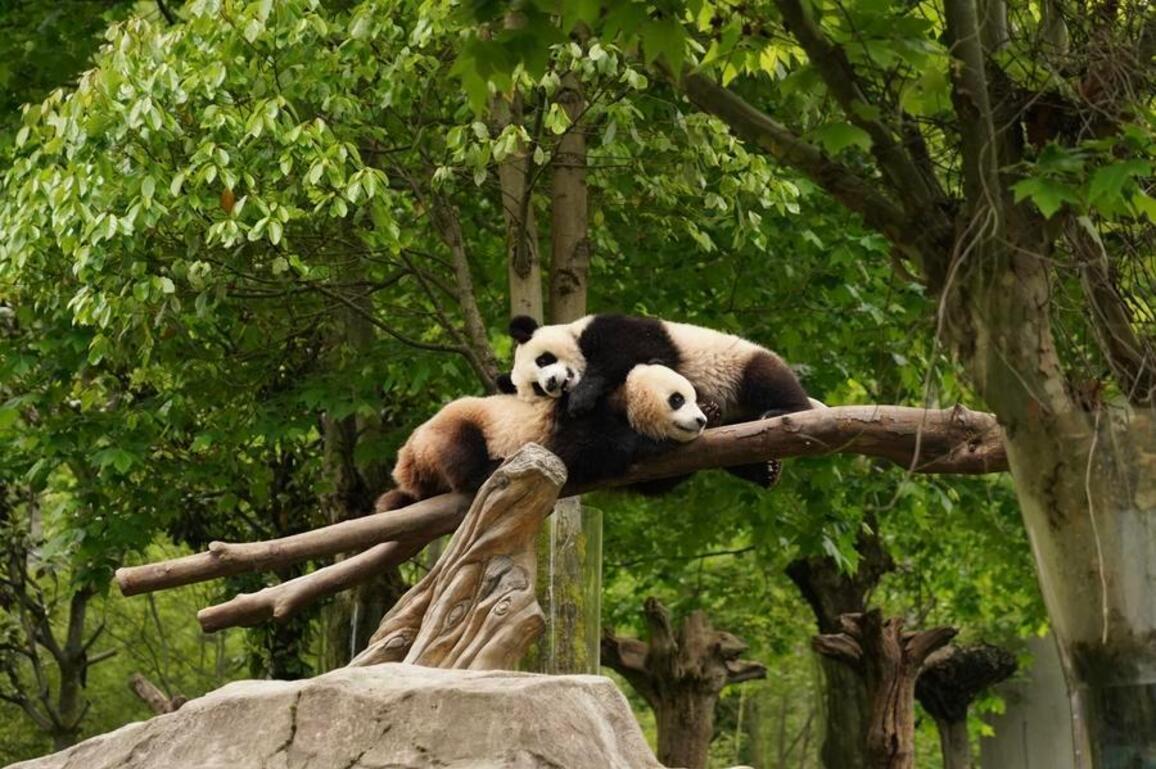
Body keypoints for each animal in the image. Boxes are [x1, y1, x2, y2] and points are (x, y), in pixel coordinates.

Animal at [374, 363, 708, 512]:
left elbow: (652, 484)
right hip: (451, 427)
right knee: (462, 452)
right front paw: (649, 441)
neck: (623, 394)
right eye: (677, 399)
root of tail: (406, 461)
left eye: (694, 398)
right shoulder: (575, 410)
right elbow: (584, 449)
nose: (701, 420)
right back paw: (493, 466)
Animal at [496, 313, 813, 487]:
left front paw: (581, 398)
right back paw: (765, 470)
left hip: (738, 364)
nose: (552, 383)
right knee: (737, 446)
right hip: (738, 426)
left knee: (767, 379)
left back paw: (787, 410)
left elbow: (623, 353)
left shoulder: (615, 329)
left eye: (544, 359)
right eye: (536, 388)